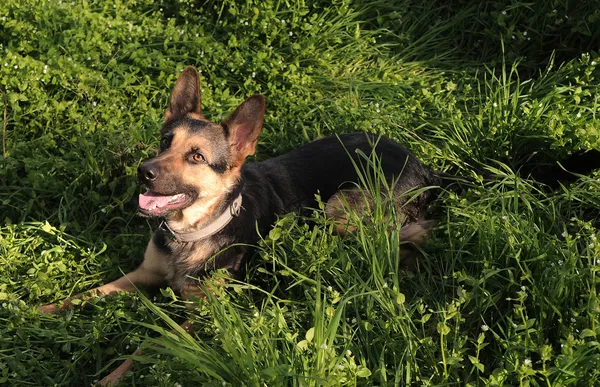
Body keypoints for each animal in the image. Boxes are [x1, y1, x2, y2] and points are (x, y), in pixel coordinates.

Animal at [39, 66, 446, 384]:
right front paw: (39, 310)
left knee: (411, 235)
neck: (195, 231)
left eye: (197, 156)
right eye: (165, 142)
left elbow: (149, 343)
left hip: (338, 210)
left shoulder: (204, 315)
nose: (143, 172)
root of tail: (424, 166)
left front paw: (110, 377)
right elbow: (89, 293)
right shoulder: (144, 274)